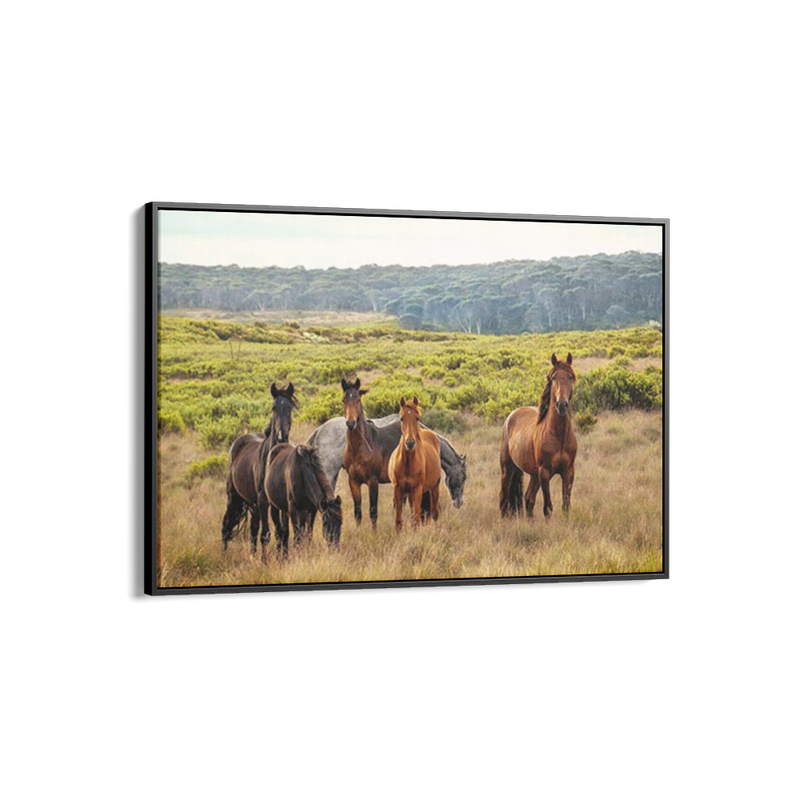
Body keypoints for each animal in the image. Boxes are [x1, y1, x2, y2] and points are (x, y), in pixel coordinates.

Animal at [220, 384, 298, 552]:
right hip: (234, 497)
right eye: (273, 407)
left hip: (253, 503)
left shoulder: (280, 501)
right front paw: (266, 558)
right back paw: (224, 553)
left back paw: (253, 554)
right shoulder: (263, 499)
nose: (281, 436)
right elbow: (266, 534)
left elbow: (283, 532)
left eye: (290, 407)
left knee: (253, 528)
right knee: (227, 524)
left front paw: (283, 556)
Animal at [390, 398, 444, 532]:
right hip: (410, 493)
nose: (410, 443)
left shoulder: (418, 489)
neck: (407, 463)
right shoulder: (398, 489)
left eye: (417, 418)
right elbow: (398, 521)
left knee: (434, 513)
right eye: (401, 418)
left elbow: (416, 520)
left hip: (434, 488)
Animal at [496, 354, 580, 520]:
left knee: (529, 498)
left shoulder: (568, 472)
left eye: (570, 377)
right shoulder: (545, 473)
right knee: (503, 498)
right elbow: (548, 508)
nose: (561, 405)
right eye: (553, 377)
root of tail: (511, 415)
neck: (559, 436)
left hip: (534, 475)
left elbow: (565, 505)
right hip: (508, 468)